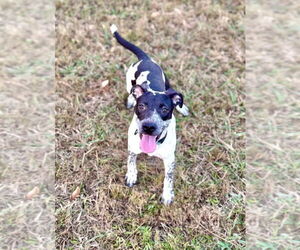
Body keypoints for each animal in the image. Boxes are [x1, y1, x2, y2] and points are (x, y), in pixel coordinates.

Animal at [111, 23, 189, 205]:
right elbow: (131, 161)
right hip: (129, 83)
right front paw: (131, 175)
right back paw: (130, 99)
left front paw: (167, 195)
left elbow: (168, 178)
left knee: (173, 92)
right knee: (131, 91)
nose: (149, 126)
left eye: (165, 109)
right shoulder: (132, 148)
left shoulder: (170, 160)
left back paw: (182, 107)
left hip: (168, 83)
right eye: (142, 106)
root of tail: (145, 58)